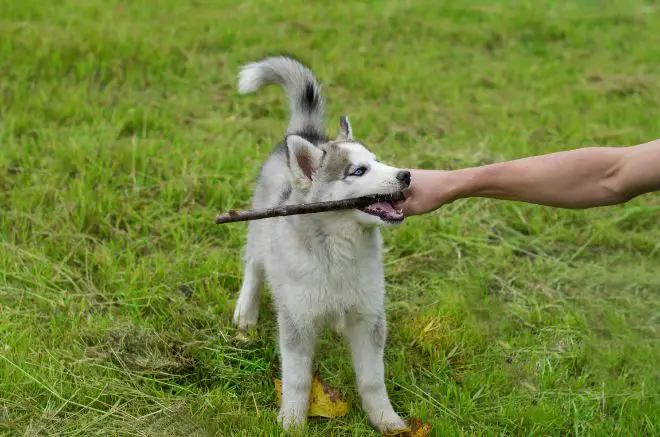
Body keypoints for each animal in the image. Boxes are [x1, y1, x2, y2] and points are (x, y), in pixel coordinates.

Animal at [231, 54, 408, 430]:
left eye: (379, 161)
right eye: (358, 171)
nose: (406, 175)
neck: (341, 252)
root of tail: (303, 134)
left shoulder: (369, 317)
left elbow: (372, 379)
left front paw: (387, 421)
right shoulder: (296, 322)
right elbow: (297, 380)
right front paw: (292, 423)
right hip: (259, 231)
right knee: (254, 266)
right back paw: (246, 312)